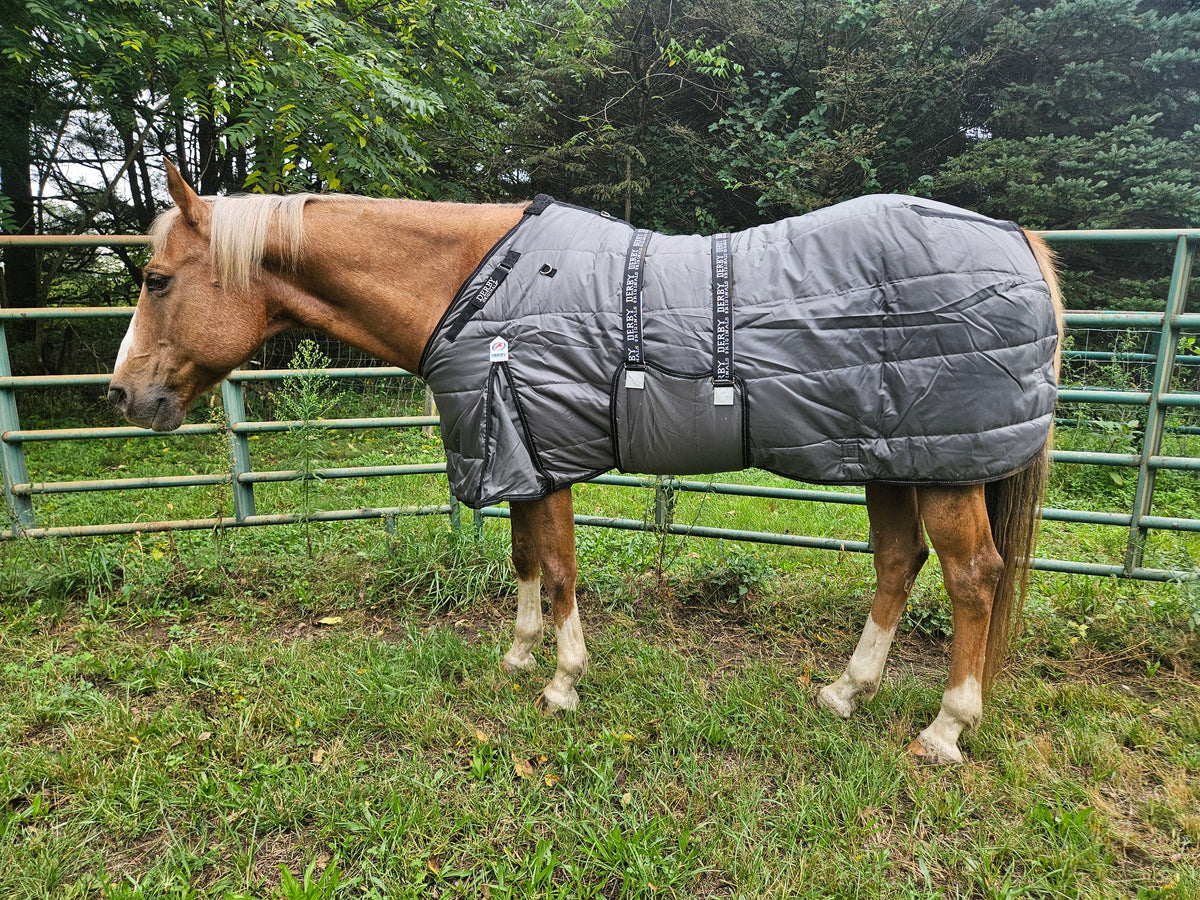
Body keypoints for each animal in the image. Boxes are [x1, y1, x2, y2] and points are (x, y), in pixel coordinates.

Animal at [109, 161, 1063, 764]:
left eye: (157, 279)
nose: (122, 396)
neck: (476, 286)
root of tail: (1015, 238)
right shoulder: (521, 448)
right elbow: (526, 559)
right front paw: (521, 656)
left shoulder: (545, 451)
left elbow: (562, 567)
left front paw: (563, 683)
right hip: (894, 458)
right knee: (899, 562)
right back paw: (845, 691)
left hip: (942, 468)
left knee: (972, 576)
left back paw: (945, 729)